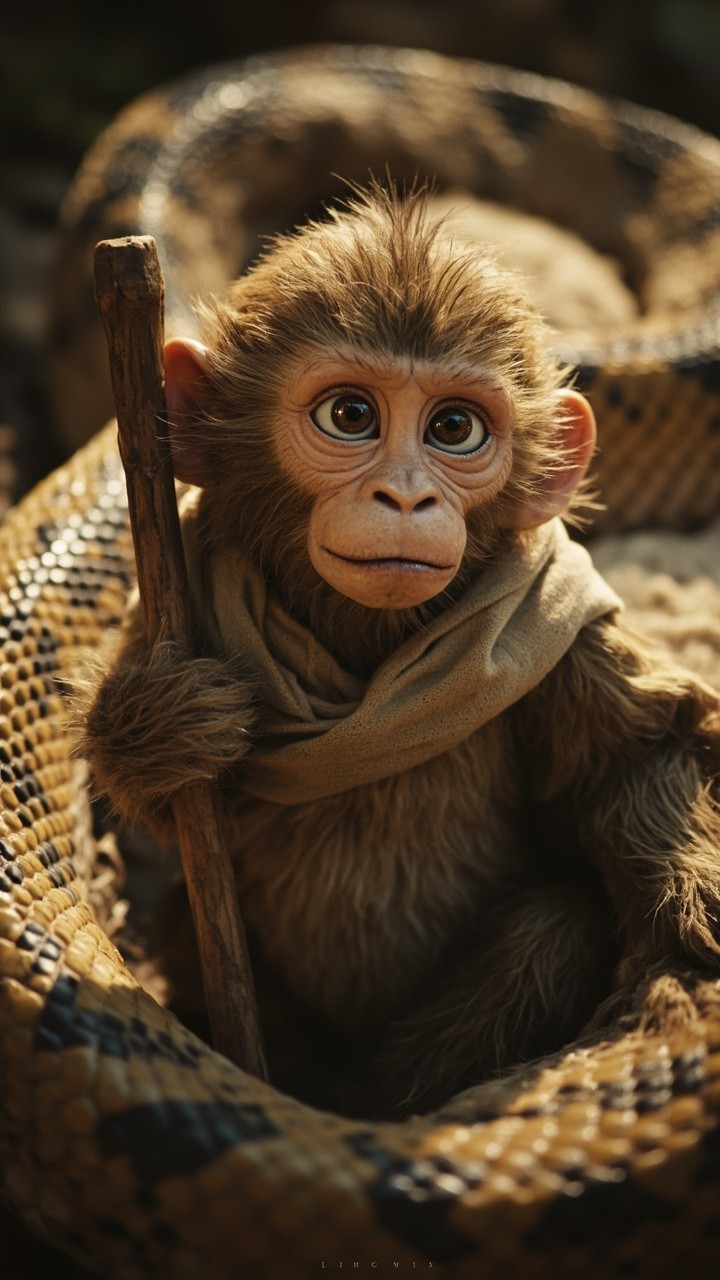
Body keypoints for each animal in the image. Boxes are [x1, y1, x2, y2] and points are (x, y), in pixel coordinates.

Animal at [74, 182, 720, 1117]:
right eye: (351, 415)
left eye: (454, 429)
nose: (406, 496)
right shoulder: (177, 593)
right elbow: (171, 813)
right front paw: (161, 729)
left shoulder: (562, 623)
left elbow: (642, 750)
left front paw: (691, 916)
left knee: (553, 932)